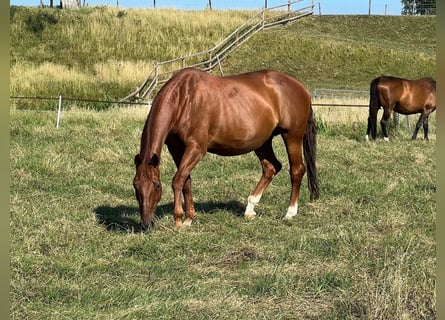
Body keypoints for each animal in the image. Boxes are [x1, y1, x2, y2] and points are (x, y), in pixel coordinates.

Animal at [133, 67, 320, 229]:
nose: (146, 223)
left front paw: (179, 220)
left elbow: (178, 180)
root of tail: (301, 87)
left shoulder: (196, 148)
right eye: (135, 186)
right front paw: (189, 218)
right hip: (262, 142)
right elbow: (186, 181)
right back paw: (250, 208)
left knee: (297, 170)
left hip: (292, 136)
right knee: (271, 167)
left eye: (157, 185)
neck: (184, 99)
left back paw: (290, 213)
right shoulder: (176, 149)